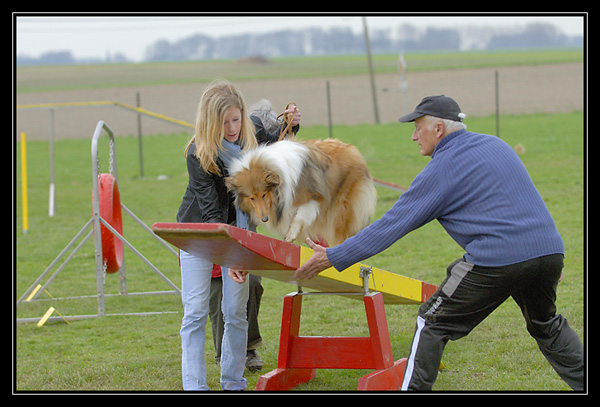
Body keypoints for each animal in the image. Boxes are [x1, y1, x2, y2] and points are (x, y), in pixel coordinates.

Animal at [225, 140, 376, 247]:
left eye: (263, 194)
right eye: (251, 198)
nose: (264, 219)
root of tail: (354, 150)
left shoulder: (313, 199)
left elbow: (300, 218)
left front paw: (291, 235)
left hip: (340, 211)